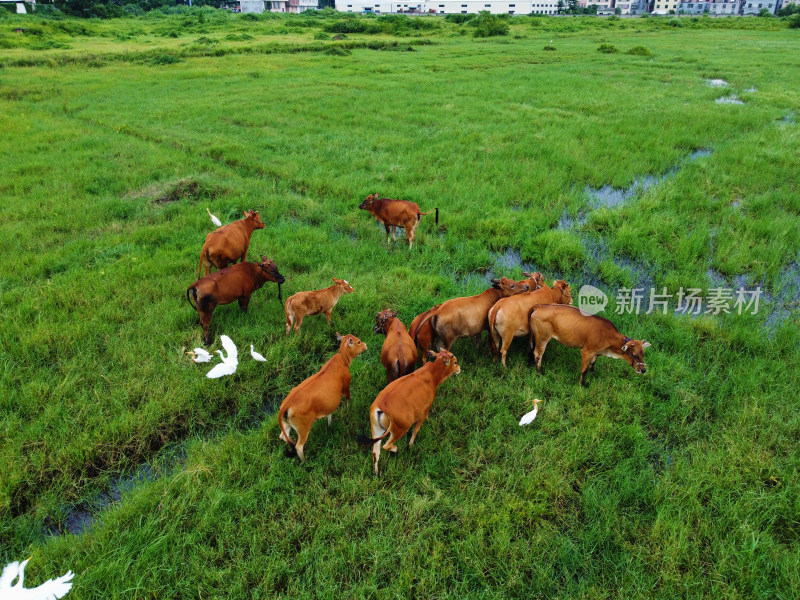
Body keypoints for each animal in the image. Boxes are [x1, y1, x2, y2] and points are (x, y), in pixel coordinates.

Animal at [276, 332, 368, 464]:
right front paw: (349, 409)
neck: (342, 359)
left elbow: (329, 413)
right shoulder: (345, 387)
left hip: (287, 424)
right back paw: (305, 462)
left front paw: (329, 425)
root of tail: (286, 404)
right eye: (359, 341)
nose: (365, 345)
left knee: (283, 436)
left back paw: (292, 442)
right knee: (299, 446)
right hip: (304, 428)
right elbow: (348, 399)